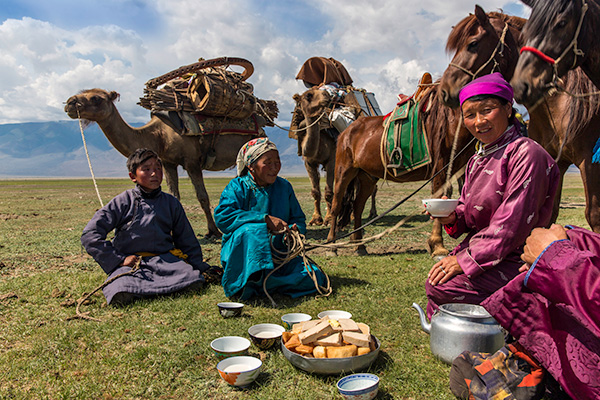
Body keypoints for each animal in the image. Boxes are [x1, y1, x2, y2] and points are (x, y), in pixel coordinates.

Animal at [326, 81, 476, 255]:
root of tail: (346, 132)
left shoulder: (462, 166)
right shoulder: (440, 165)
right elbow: (441, 195)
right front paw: (438, 245)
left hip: (367, 178)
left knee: (357, 207)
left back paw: (360, 246)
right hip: (344, 172)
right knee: (336, 205)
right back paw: (332, 245)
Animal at [438, 5, 600, 231]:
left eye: (473, 44)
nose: (444, 91)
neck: (558, 103)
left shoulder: (589, 161)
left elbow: (594, 215)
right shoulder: (554, 162)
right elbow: (547, 215)